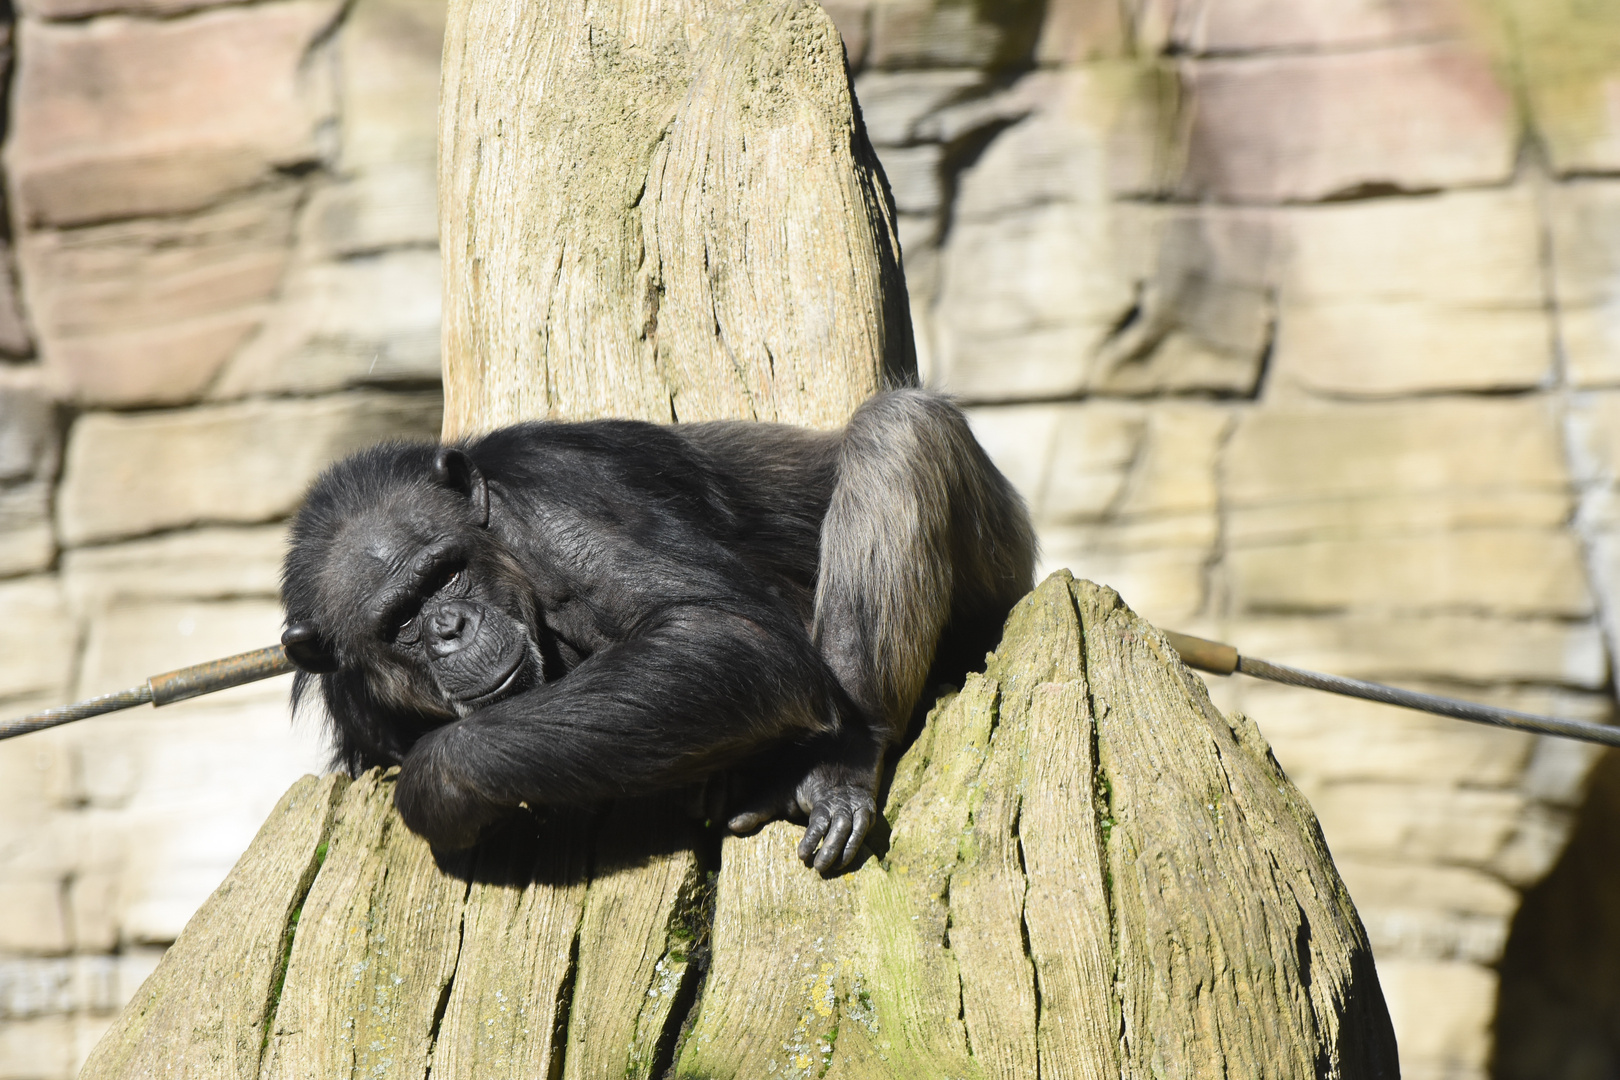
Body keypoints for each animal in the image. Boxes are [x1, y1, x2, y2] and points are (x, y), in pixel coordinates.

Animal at [278, 388, 1036, 867]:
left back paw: (839, 767)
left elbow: (729, 634)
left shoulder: (562, 502)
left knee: (897, 428)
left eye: (445, 572)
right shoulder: (358, 711)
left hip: (1000, 579)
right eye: (399, 620)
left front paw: (437, 782)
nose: (447, 626)